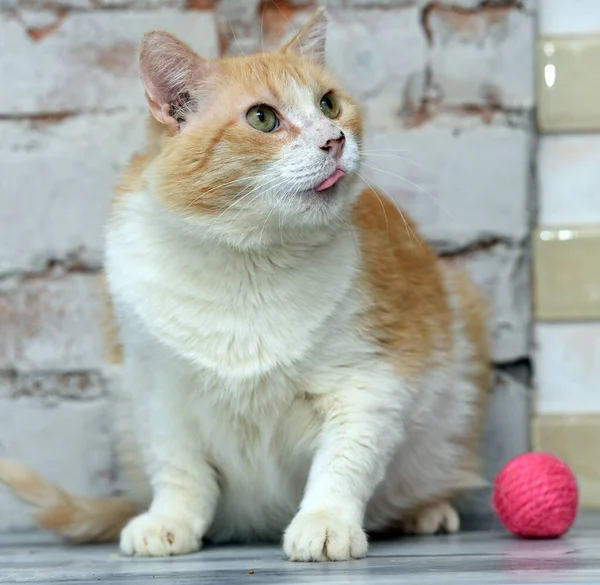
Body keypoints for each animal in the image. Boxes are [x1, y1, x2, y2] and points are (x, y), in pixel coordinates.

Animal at [0, 6, 490, 560]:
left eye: (328, 103)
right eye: (262, 118)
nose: (334, 139)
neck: (247, 261)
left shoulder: (370, 382)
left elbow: (344, 461)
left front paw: (325, 522)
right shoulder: (157, 391)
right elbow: (178, 469)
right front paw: (169, 521)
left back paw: (426, 511)